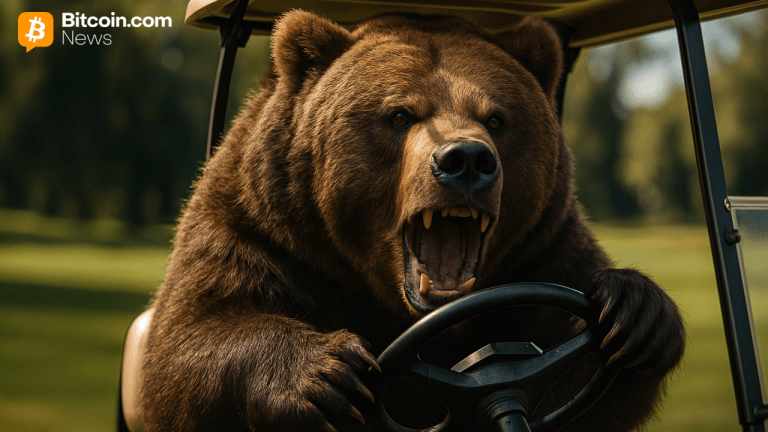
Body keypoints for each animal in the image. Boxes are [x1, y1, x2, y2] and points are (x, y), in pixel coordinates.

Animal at [140, 10, 686, 432]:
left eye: (496, 117)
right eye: (399, 114)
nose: (466, 160)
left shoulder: (544, 249)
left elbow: (585, 382)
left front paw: (636, 313)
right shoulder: (265, 229)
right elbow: (187, 339)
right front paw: (326, 373)